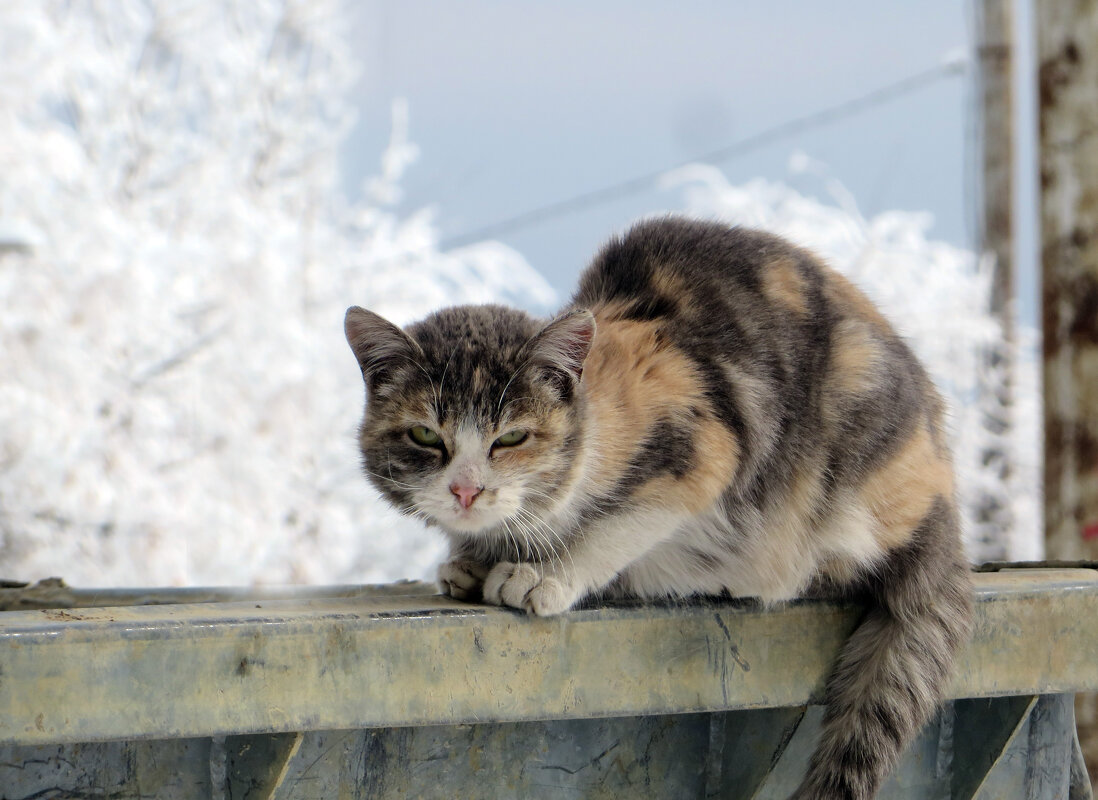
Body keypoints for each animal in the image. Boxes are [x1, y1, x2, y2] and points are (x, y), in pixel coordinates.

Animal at [342, 215, 970, 794]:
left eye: (511, 438)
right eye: (425, 436)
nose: (466, 490)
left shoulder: (702, 446)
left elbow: (622, 524)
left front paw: (545, 574)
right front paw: (471, 561)